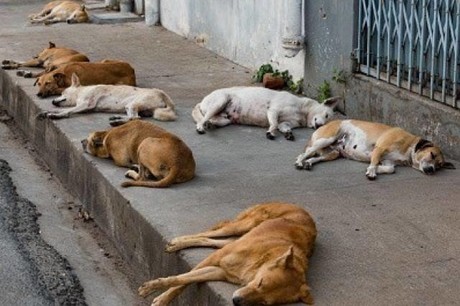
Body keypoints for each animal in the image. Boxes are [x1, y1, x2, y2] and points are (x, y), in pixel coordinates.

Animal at [40, 73, 177, 124]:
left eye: (63, 92)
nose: (52, 101)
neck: (81, 92)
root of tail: (162, 94)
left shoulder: (86, 105)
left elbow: (66, 111)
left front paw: (56, 115)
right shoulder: (84, 106)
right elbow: (63, 109)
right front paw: (49, 111)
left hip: (132, 104)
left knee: (135, 118)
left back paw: (117, 121)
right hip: (132, 107)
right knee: (135, 116)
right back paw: (117, 118)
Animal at [138, 202, 318, 304]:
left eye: (264, 302)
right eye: (261, 283)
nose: (236, 301)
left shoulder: (219, 271)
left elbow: (185, 280)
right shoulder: (214, 259)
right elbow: (179, 280)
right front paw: (157, 294)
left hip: (238, 236)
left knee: (211, 240)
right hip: (242, 225)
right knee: (210, 233)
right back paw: (177, 242)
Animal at [191, 86, 342, 140]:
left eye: (327, 122)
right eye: (326, 115)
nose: (319, 126)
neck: (303, 111)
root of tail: (202, 101)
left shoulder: (285, 123)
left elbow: (283, 127)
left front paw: (288, 134)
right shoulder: (273, 111)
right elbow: (274, 124)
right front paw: (270, 132)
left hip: (225, 119)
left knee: (212, 119)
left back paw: (210, 124)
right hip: (220, 101)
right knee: (203, 119)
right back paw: (201, 127)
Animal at [294, 118, 456, 178]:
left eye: (439, 165)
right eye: (432, 155)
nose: (431, 170)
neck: (409, 147)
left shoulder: (389, 162)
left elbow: (389, 169)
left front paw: (376, 169)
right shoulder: (379, 148)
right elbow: (374, 161)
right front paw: (372, 171)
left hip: (333, 153)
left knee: (316, 157)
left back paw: (308, 163)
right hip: (327, 139)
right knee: (304, 153)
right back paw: (300, 162)